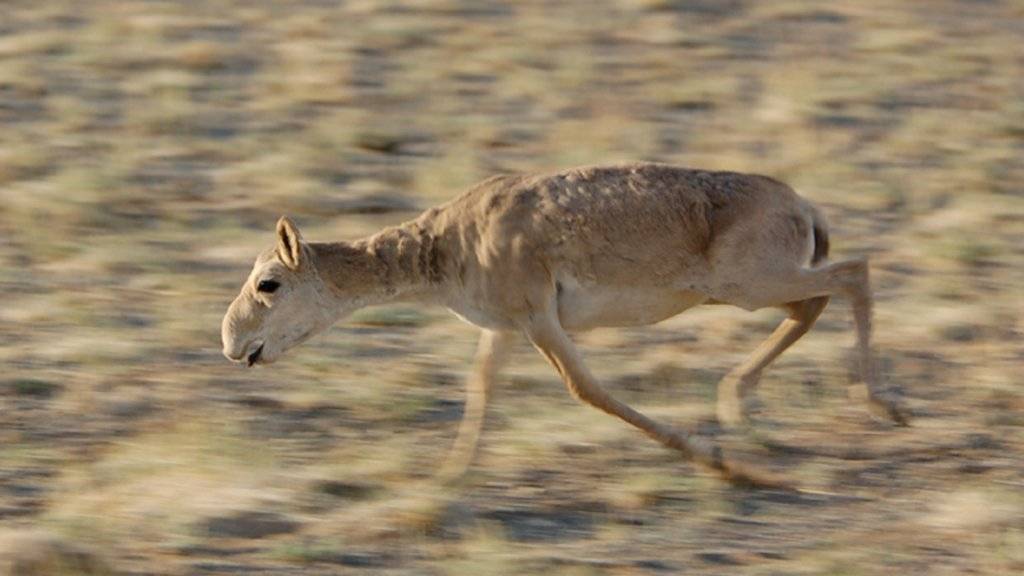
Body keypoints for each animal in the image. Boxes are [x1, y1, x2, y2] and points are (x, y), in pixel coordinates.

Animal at [220, 162, 909, 483]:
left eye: (268, 283)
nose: (231, 344)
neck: (447, 243)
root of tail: (802, 204)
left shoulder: (537, 320)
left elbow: (588, 389)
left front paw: (716, 460)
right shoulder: (501, 329)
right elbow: (480, 390)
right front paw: (448, 477)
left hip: (750, 284)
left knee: (855, 273)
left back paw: (882, 404)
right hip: (753, 288)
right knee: (816, 302)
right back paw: (739, 401)